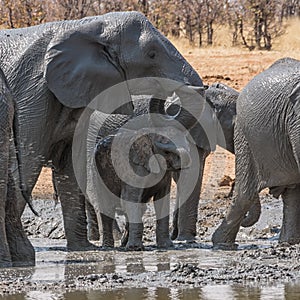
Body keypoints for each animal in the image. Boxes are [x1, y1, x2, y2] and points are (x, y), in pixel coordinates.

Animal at [0, 10, 203, 264]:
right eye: (152, 54)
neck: (85, 26)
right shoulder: (32, 94)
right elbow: (27, 163)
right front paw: (22, 260)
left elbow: (68, 168)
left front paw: (83, 250)